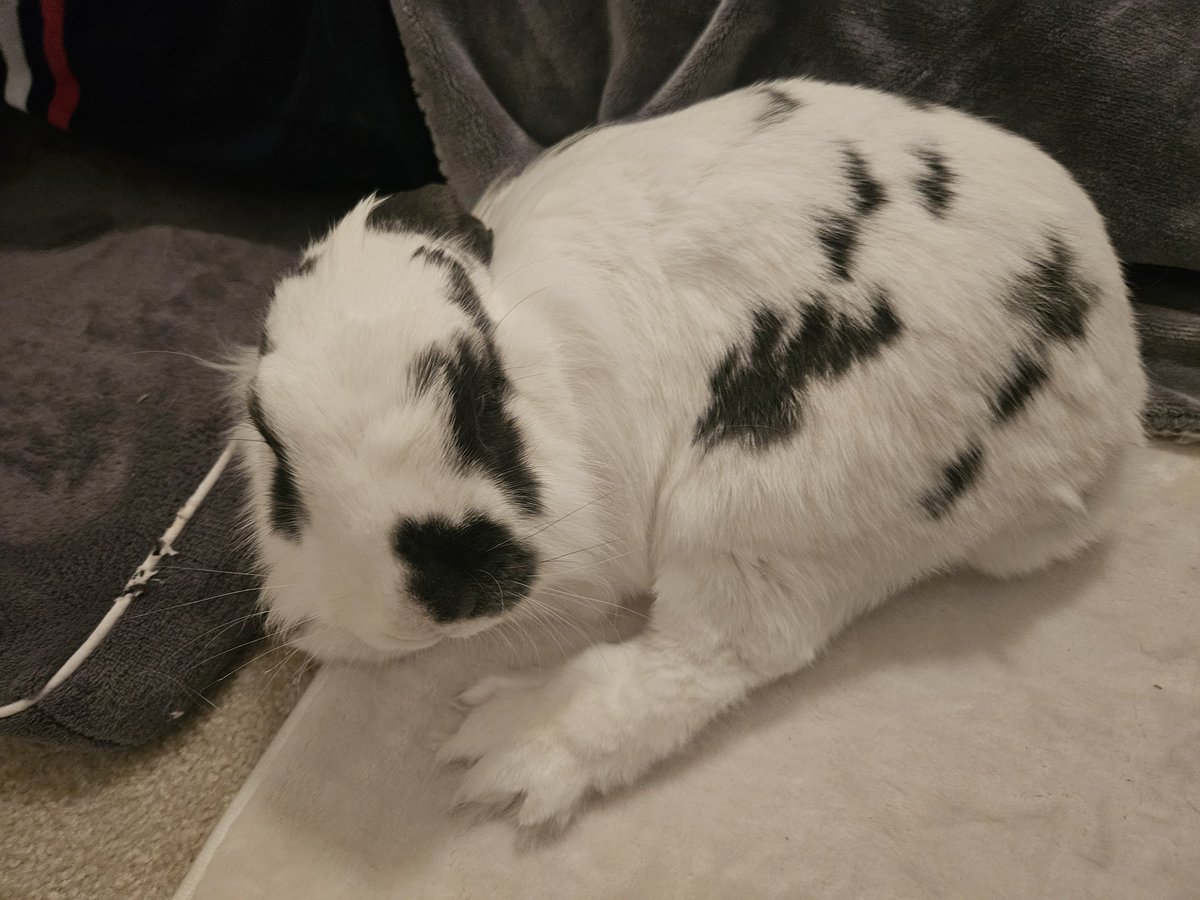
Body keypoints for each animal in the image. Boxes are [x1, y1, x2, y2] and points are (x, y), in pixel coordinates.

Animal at [233, 77, 1146, 829]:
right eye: (271, 438)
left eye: (481, 390)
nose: (444, 595)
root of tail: (1114, 414)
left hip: (763, 497)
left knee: (717, 652)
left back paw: (513, 747)